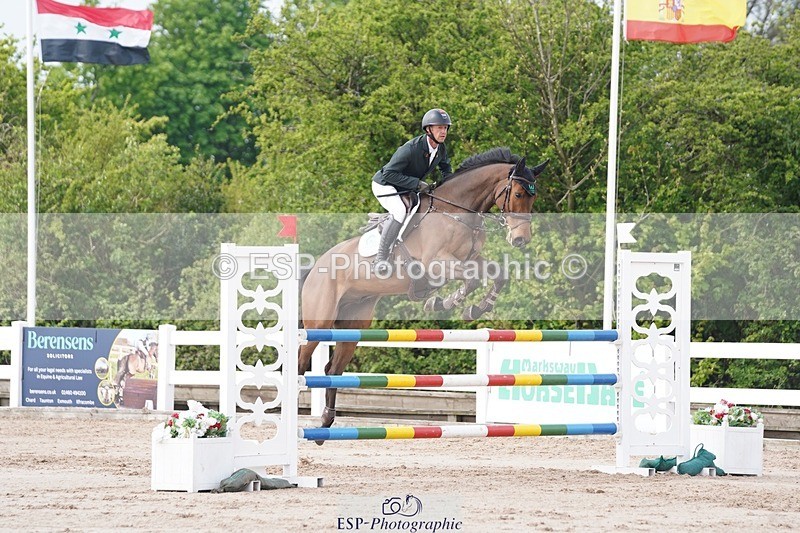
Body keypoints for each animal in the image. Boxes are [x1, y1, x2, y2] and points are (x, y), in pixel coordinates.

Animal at [298, 147, 548, 432]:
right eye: (518, 194)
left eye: (533, 196)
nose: (521, 240)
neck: (457, 211)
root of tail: (314, 267)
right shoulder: (437, 263)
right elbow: (472, 280)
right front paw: (447, 303)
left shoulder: (471, 259)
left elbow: (498, 275)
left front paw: (474, 307)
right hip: (320, 320)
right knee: (301, 361)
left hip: (353, 322)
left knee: (333, 369)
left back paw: (326, 420)